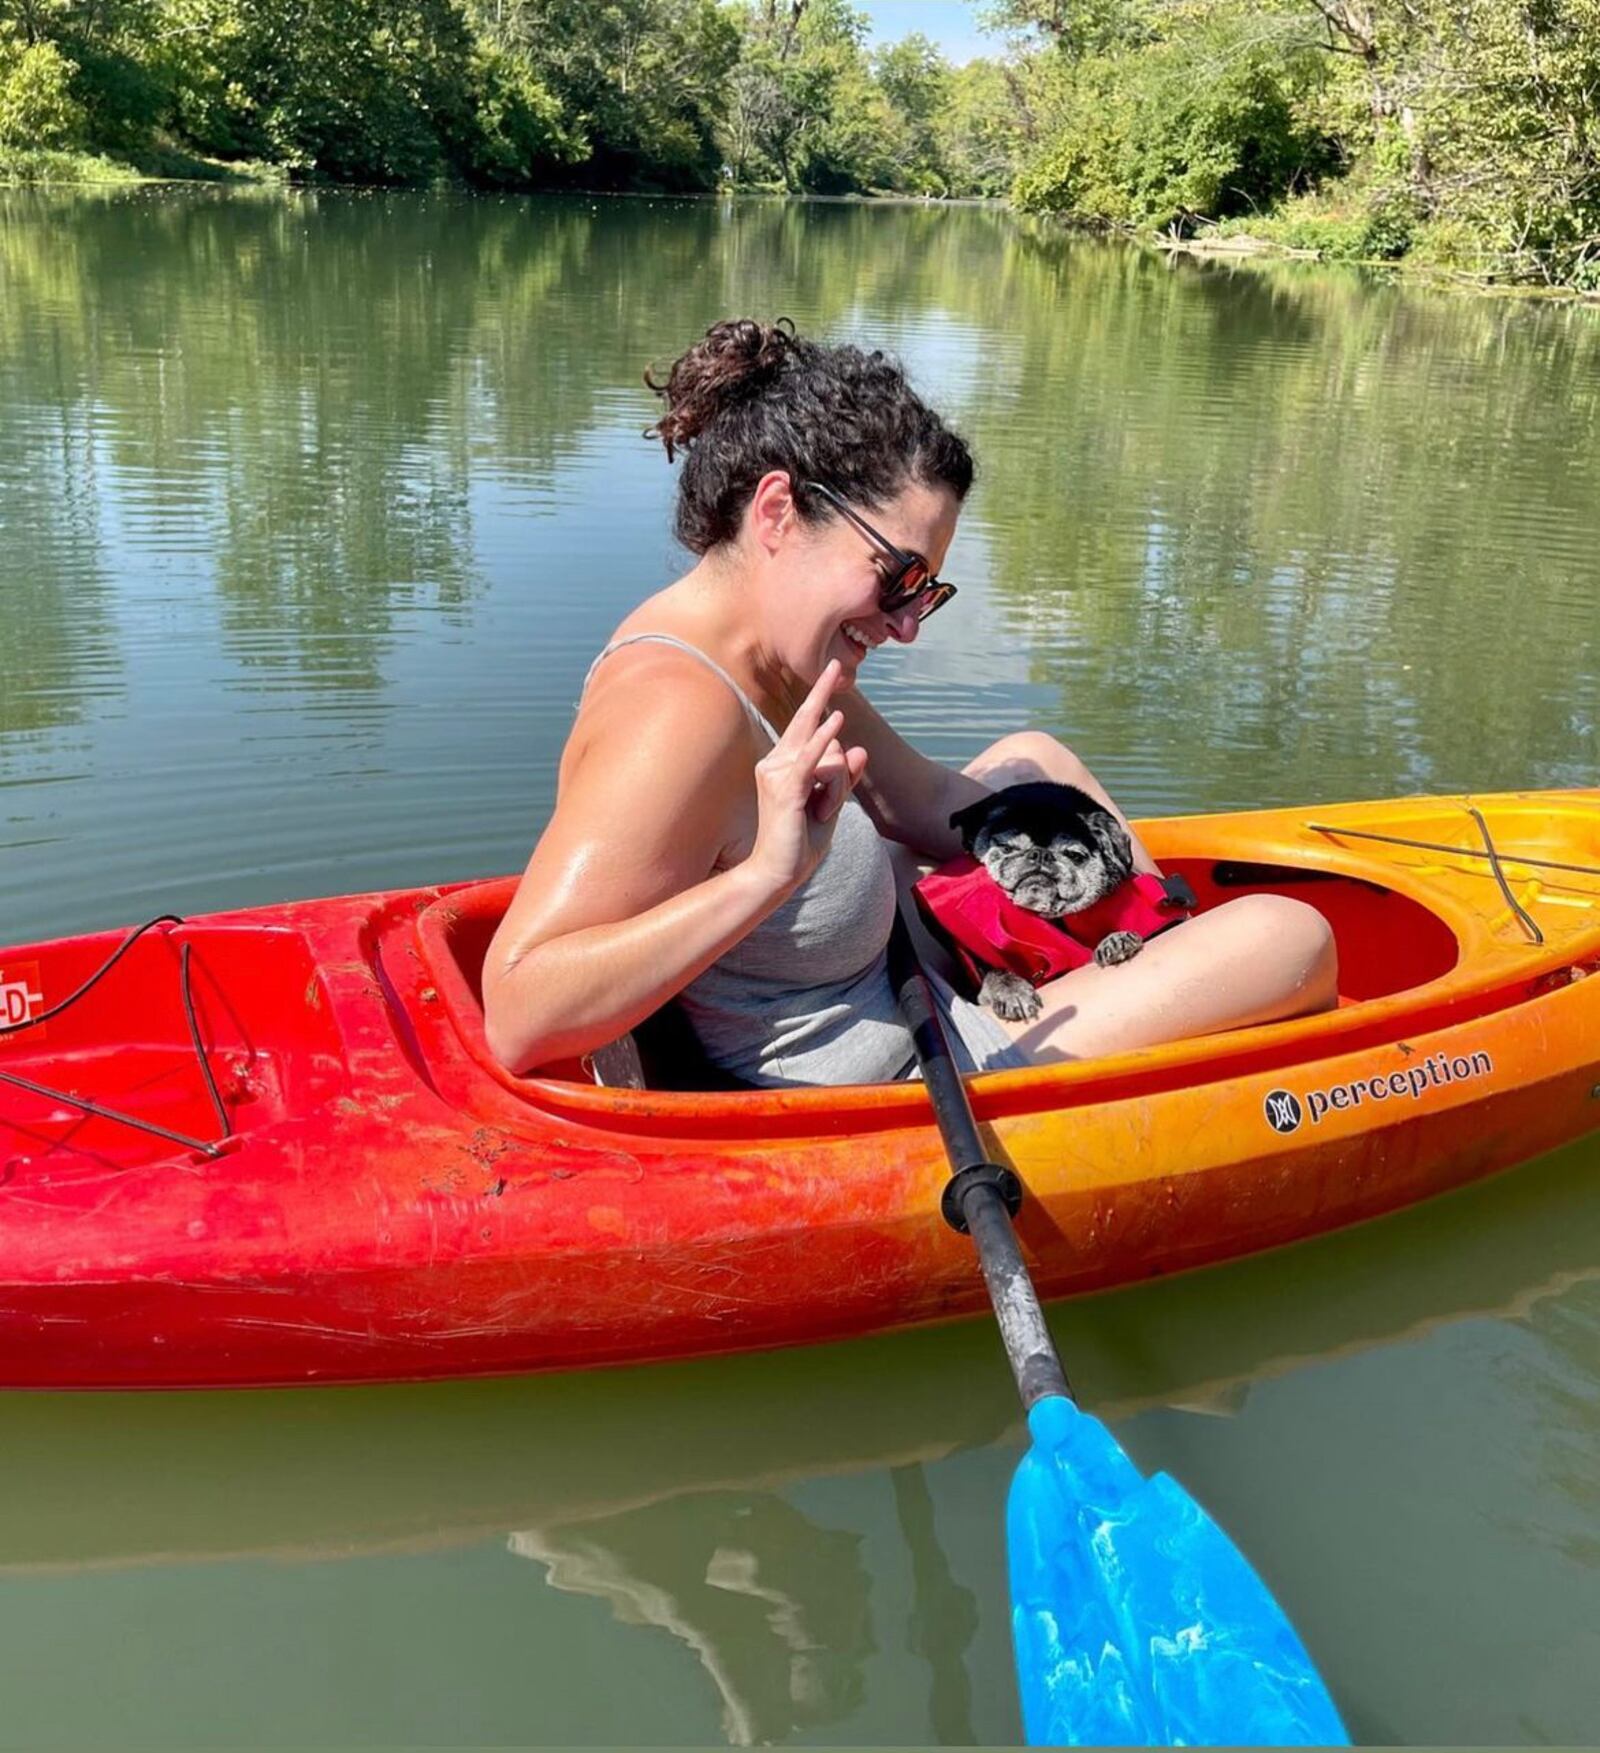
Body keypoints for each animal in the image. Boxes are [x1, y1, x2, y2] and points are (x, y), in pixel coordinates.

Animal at [939, 778, 1142, 1023]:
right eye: (1006, 848)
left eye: (1074, 855)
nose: (1040, 854)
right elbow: (996, 972)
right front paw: (1011, 991)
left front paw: (1116, 939)